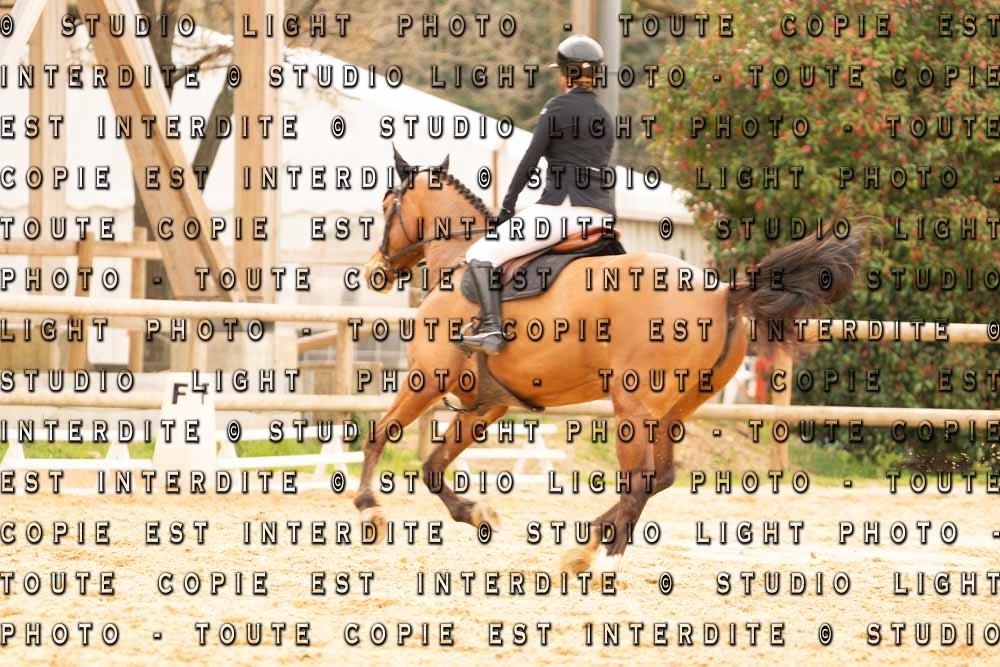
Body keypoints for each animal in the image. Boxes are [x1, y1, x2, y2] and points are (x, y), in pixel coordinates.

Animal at [354, 149, 866, 576]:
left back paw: (599, 559)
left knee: (639, 481)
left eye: (386, 206)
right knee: (660, 477)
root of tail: (722, 292)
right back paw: (589, 543)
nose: (374, 272)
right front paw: (476, 514)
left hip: (632, 406)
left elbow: (380, 433)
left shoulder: (426, 379)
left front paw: (368, 509)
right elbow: (432, 466)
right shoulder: (486, 405)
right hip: (672, 411)